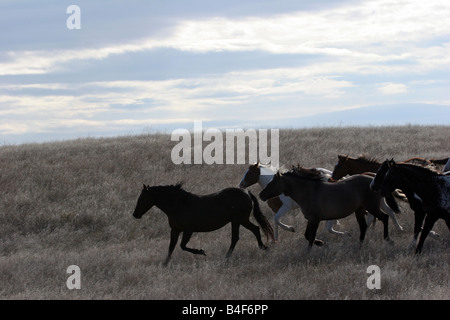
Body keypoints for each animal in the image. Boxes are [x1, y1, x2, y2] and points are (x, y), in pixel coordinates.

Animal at [132, 182, 274, 264]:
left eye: (143, 198)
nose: (135, 214)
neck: (179, 204)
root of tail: (247, 192)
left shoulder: (188, 230)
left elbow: (182, 246)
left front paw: (201, 252)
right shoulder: (175, 230)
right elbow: (171, 247)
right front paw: (165, 265)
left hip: (237, 220)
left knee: (235, 238)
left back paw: (226, 258)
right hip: (243, 219)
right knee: (256, 229)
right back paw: (263, 248)